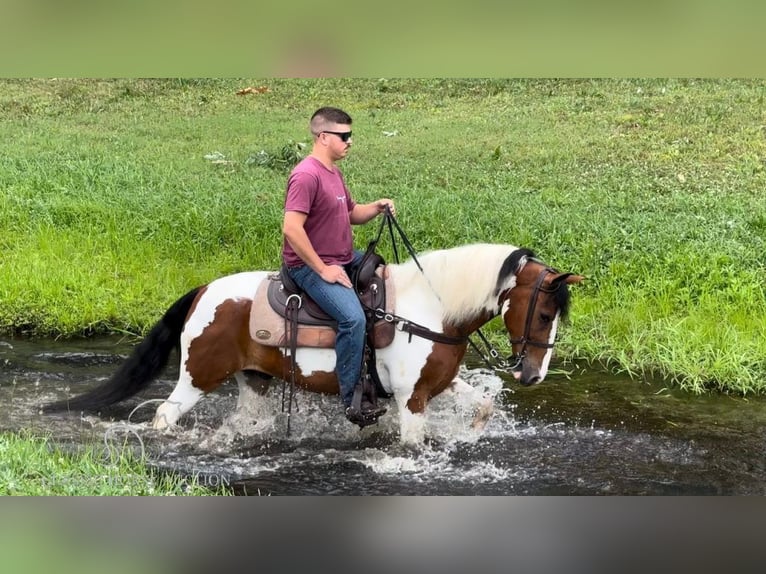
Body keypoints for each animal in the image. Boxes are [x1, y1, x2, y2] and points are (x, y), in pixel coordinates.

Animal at [45, 243, 584, 446]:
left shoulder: (438, 384)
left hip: (254, 382)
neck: (431, 309)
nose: (532, 374)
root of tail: (202, 291)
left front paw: (469, 434)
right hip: (198, 376)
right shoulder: (411, 397)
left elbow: (482, 407)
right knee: (165, 414)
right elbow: (412, 441)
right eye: (543, 313)